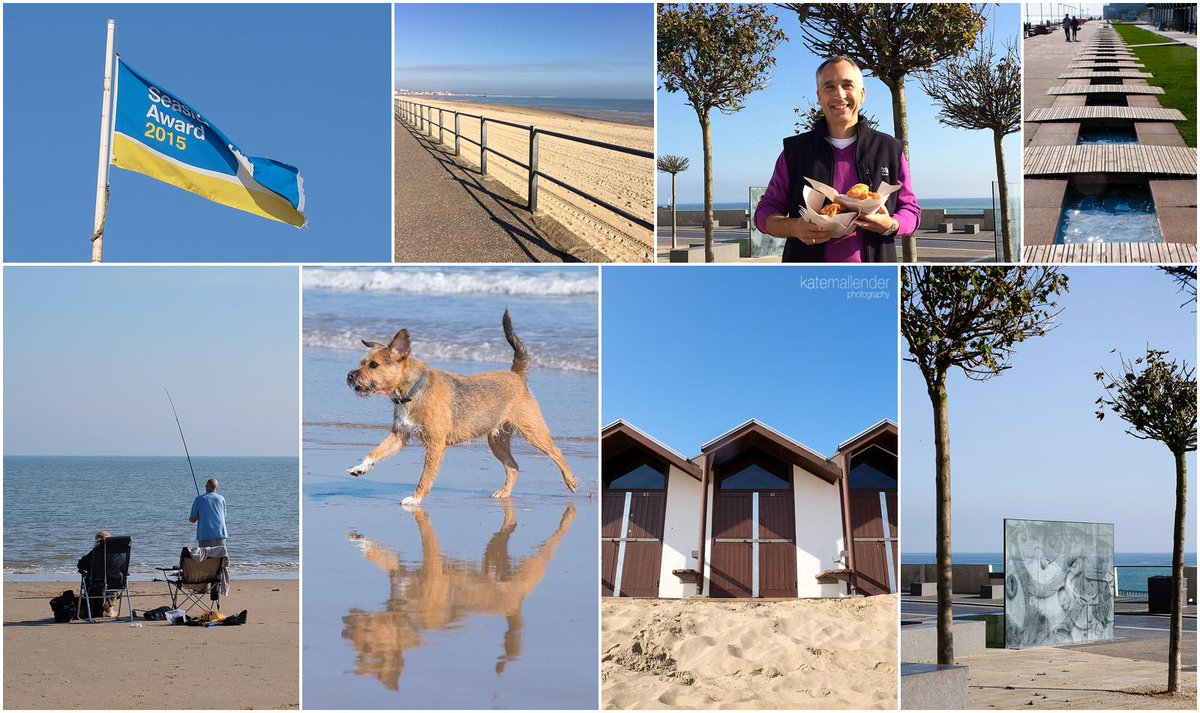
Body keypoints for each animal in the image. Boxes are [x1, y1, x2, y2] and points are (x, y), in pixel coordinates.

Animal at [345, 307, 578, 504]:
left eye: (373, 365)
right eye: (361, 363)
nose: (349, 376)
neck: (413, 392)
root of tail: (516, 375)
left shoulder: (435, 444)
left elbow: (425, 475)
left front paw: (416, 498)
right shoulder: (399, 436)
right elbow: (376, 451)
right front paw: (361, 467)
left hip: (533, 431)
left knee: (556, 452)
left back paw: (571, 480)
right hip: (497, 440)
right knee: (513, 466)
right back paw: (504, 493)